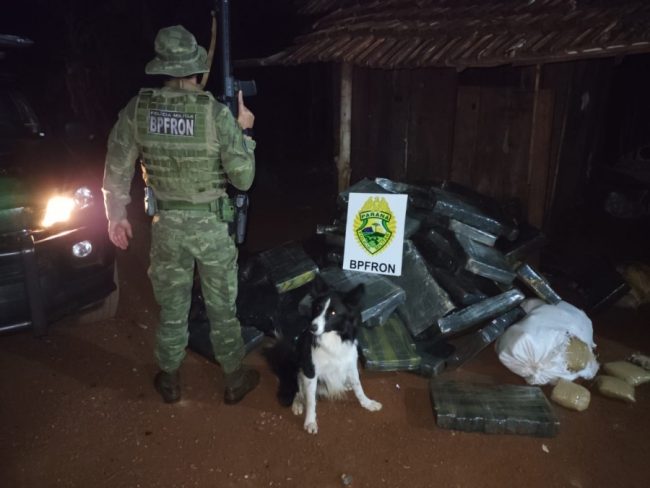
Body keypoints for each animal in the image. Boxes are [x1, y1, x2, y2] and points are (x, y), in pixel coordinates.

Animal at [262, 278, 380, 434]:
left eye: (334, 312)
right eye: (318, 308)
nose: (312, 327)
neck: (332, 338)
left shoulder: (351, 364)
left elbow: (358, 386)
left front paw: (367, 403)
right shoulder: (310, 371)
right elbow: (311, 400)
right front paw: (310, 422)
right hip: (295, 366)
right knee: (298, 390)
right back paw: (297, 404)